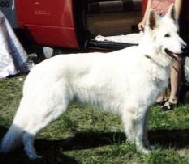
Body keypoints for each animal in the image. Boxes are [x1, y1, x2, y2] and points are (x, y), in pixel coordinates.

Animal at [0, 4, 186, 159]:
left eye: (178, 33)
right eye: (166, 35)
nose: (185, 48)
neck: (149, 58)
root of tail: (36, 68)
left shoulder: (145, 110)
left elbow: (145, 133)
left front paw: (148, 147)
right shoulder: (135, 111)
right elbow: (138, 135)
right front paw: (142, 152)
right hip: (52, 109)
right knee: (27, 133)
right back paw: (33, 156)